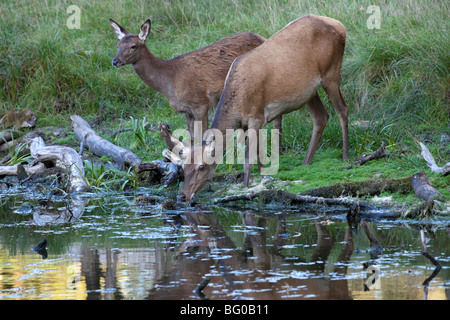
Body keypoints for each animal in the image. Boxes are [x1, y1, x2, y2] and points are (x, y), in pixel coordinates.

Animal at [108, 18, 282, 142]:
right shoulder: (186, 110)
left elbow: (202, 136)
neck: (169, 81)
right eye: (117, 45)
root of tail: (262, 37)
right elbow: (192, 138)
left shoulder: (200, 103)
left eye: (133, 46)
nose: (115, 61)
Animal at [163, 15, 352, 201]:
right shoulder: (249, 124)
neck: (238, 101)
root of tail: (340, 25)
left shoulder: (256, 116)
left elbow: (248, 160)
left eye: (201, 167)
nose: (182, 195)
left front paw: (245, 189)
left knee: (343, 109)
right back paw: (306, 162)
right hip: (309, 92)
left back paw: (345, 157)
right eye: (184, 168)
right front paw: (262, 177)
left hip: (331, 73)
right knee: (321, 116)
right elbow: (259, 155)